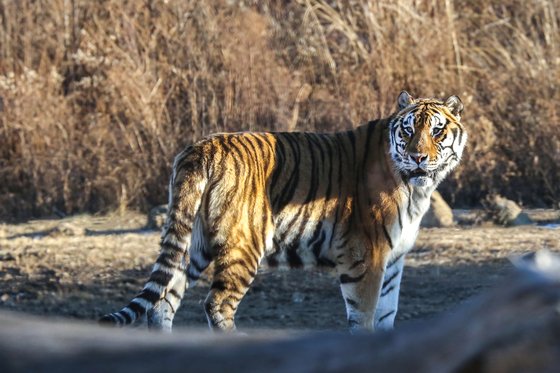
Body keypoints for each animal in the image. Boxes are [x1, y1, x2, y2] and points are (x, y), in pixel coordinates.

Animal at [98, 91, 466, 332]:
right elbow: (364, 315)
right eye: (408, 130)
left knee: (162, 302)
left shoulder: (394, 258)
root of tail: (201, 147)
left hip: (192, 243)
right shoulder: (366, 255)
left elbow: (388, 313)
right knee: (216, 303)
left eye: (436, 130)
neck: (417, 188)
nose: (418, 157)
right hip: (244, 246)